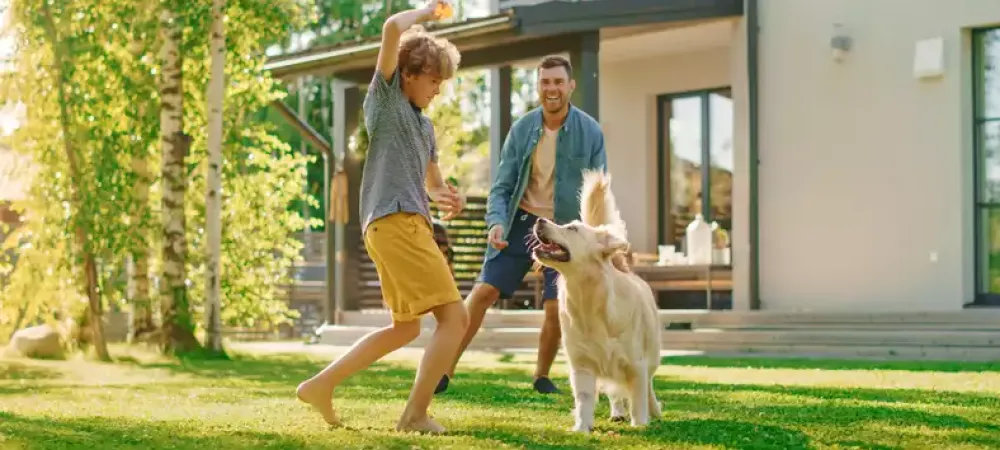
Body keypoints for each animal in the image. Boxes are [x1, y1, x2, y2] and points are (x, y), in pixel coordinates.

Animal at [528, 170, 660, 432]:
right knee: (615, 393)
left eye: (572, 228)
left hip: (651, 354)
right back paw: (617, 412)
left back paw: (654, 410)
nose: (539, 221)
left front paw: (640, 424)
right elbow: (585, 399)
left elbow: (639, 398)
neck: (588, 298)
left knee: (648, 385)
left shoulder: (636, 364)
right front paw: (581, 427)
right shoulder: (582, 364)